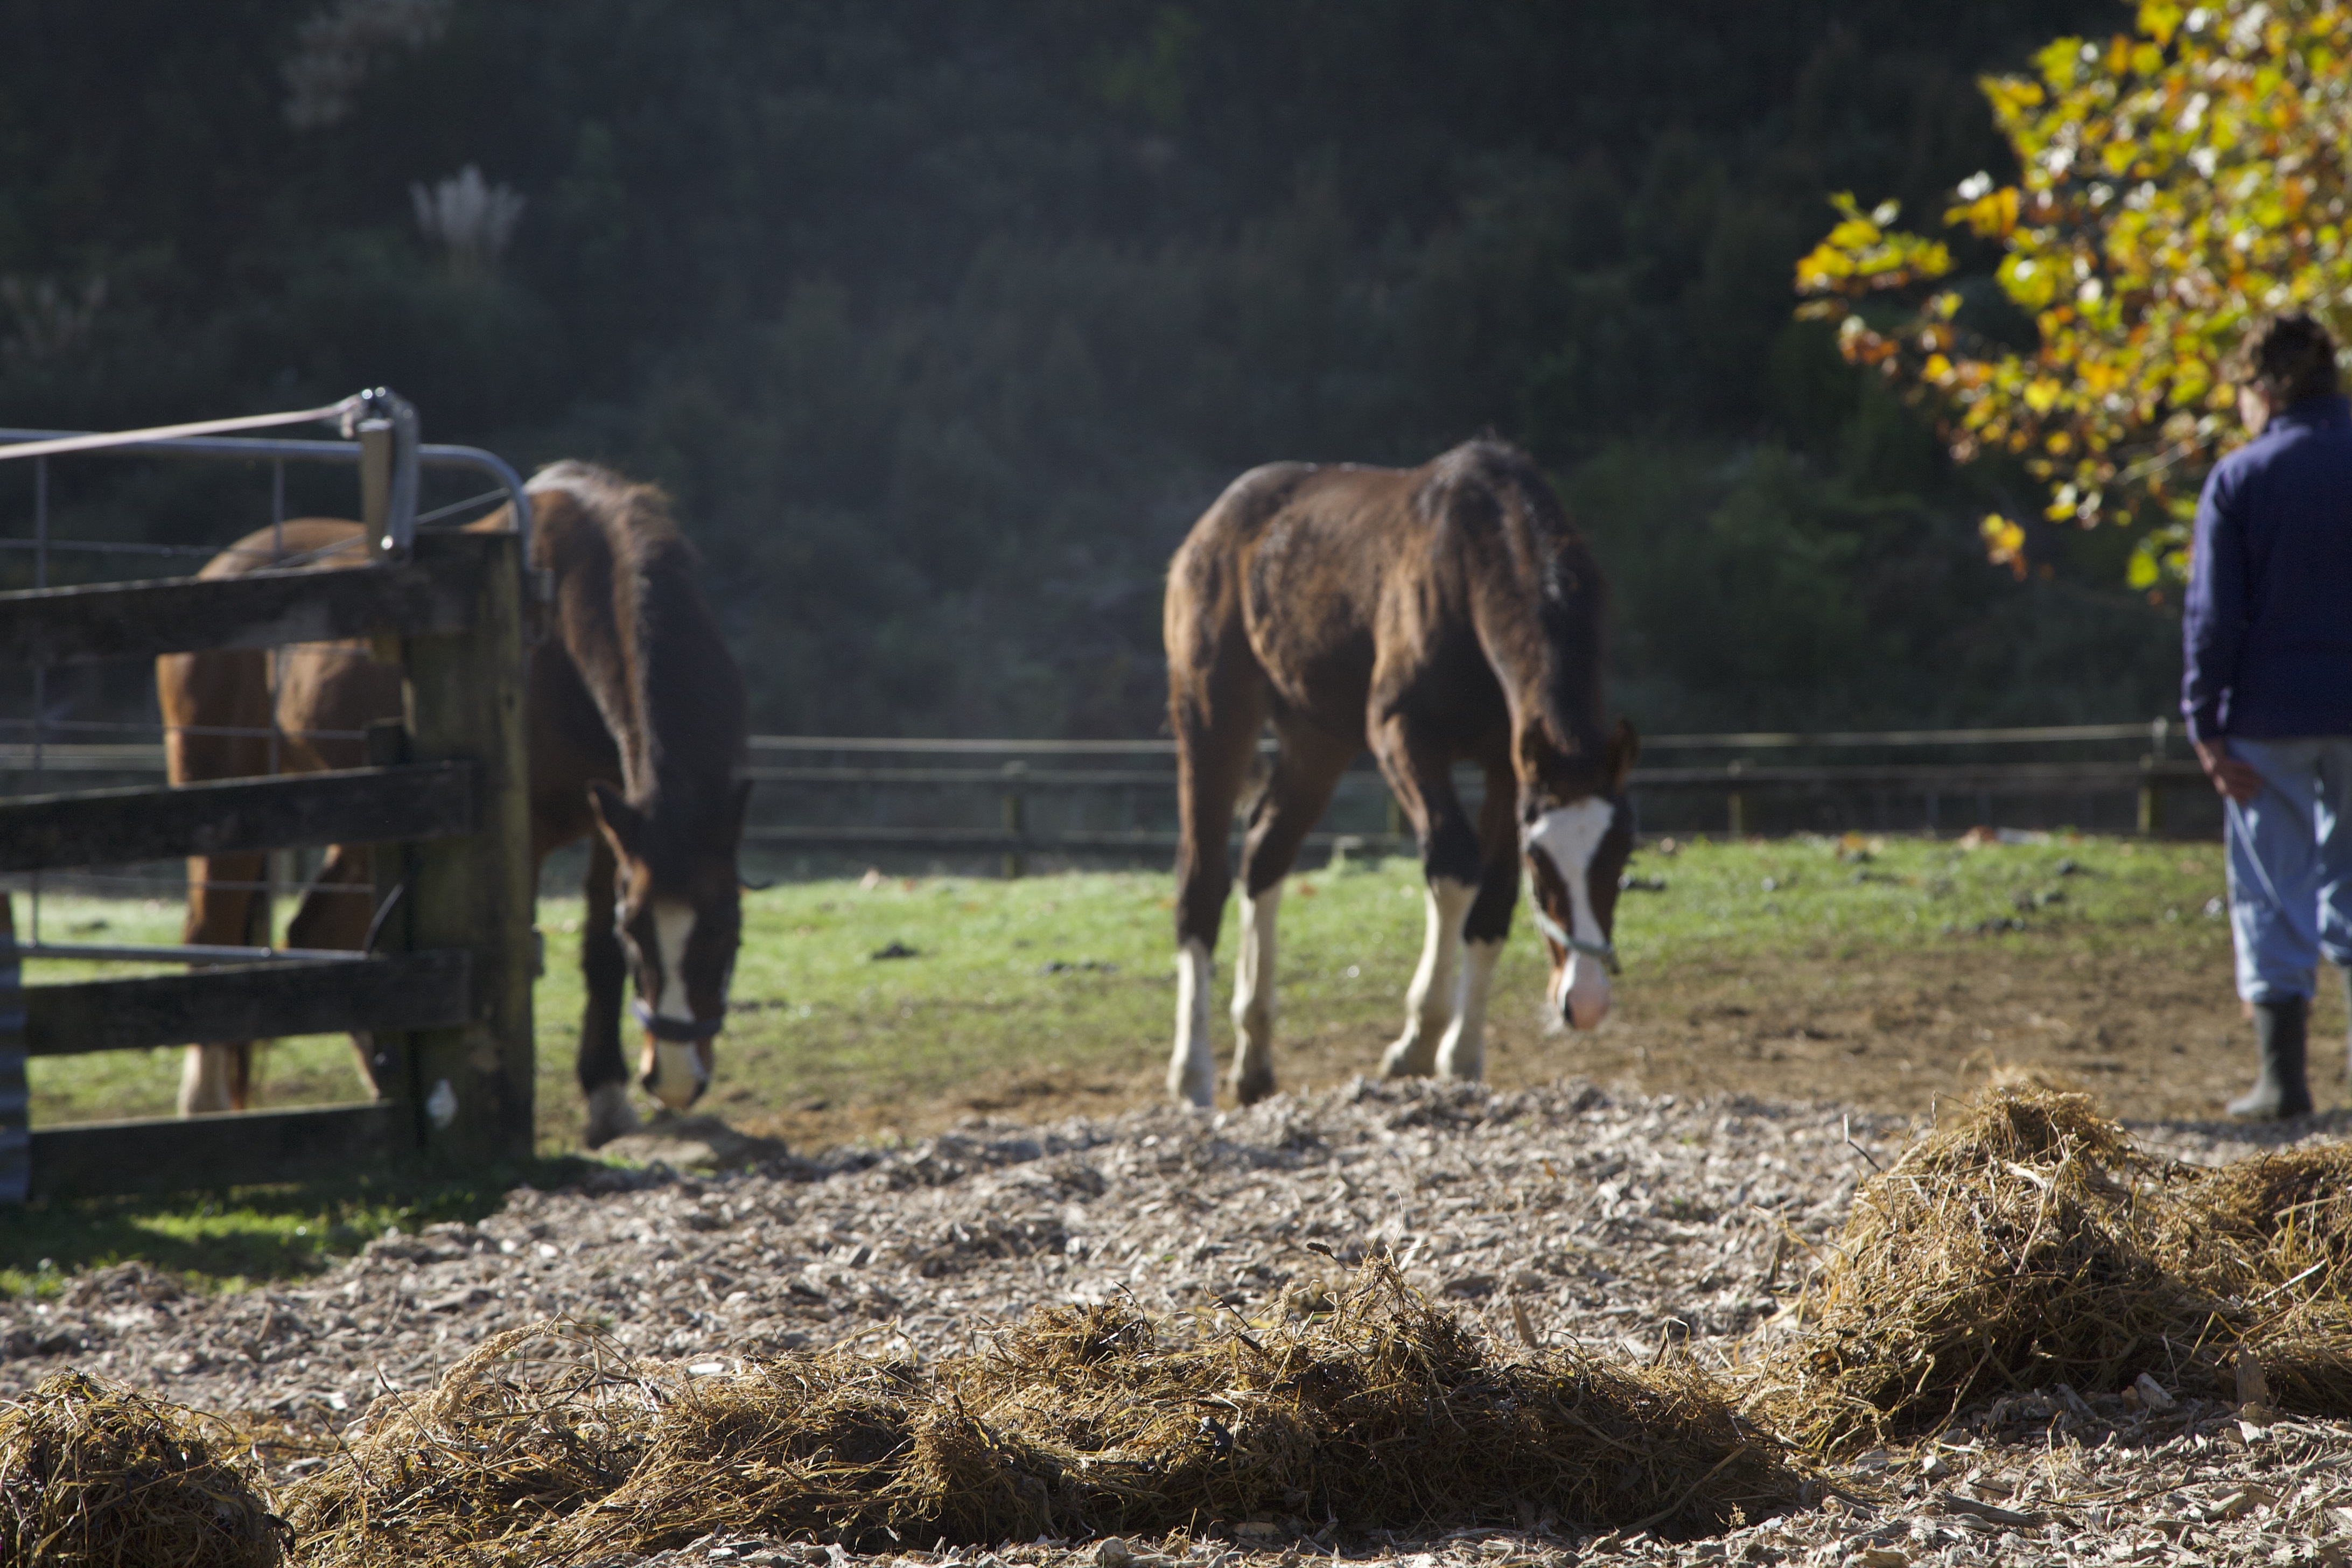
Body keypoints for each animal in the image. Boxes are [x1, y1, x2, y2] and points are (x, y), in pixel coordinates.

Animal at [156, 460, 750, 1146]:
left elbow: (598, 955)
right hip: (221, 804)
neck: (562, 625)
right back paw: (203, 1099)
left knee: (321, 931)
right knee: (212, 929)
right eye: (642, 934)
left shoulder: (616, 829)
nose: (676, 1077)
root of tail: (220, 569)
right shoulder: (527, 836)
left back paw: (381, 1079)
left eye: (728, 930)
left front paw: (607, 1100)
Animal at [1163, 438, 1636, 1107]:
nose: (1588, 1001)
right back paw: (1194, 1072)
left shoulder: (1508, 764)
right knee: (1201, 879)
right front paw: (1416, 1044)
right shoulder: (1403, 734)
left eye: (1620, 855)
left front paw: (1463, 1057)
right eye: (1543, 862)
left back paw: (1254, 1056)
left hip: (1317, 741)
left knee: (1264, 854)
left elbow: (1492, 899)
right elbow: (1455, 864)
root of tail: (1213, 522)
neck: (1472, 560)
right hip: (1213, 715)